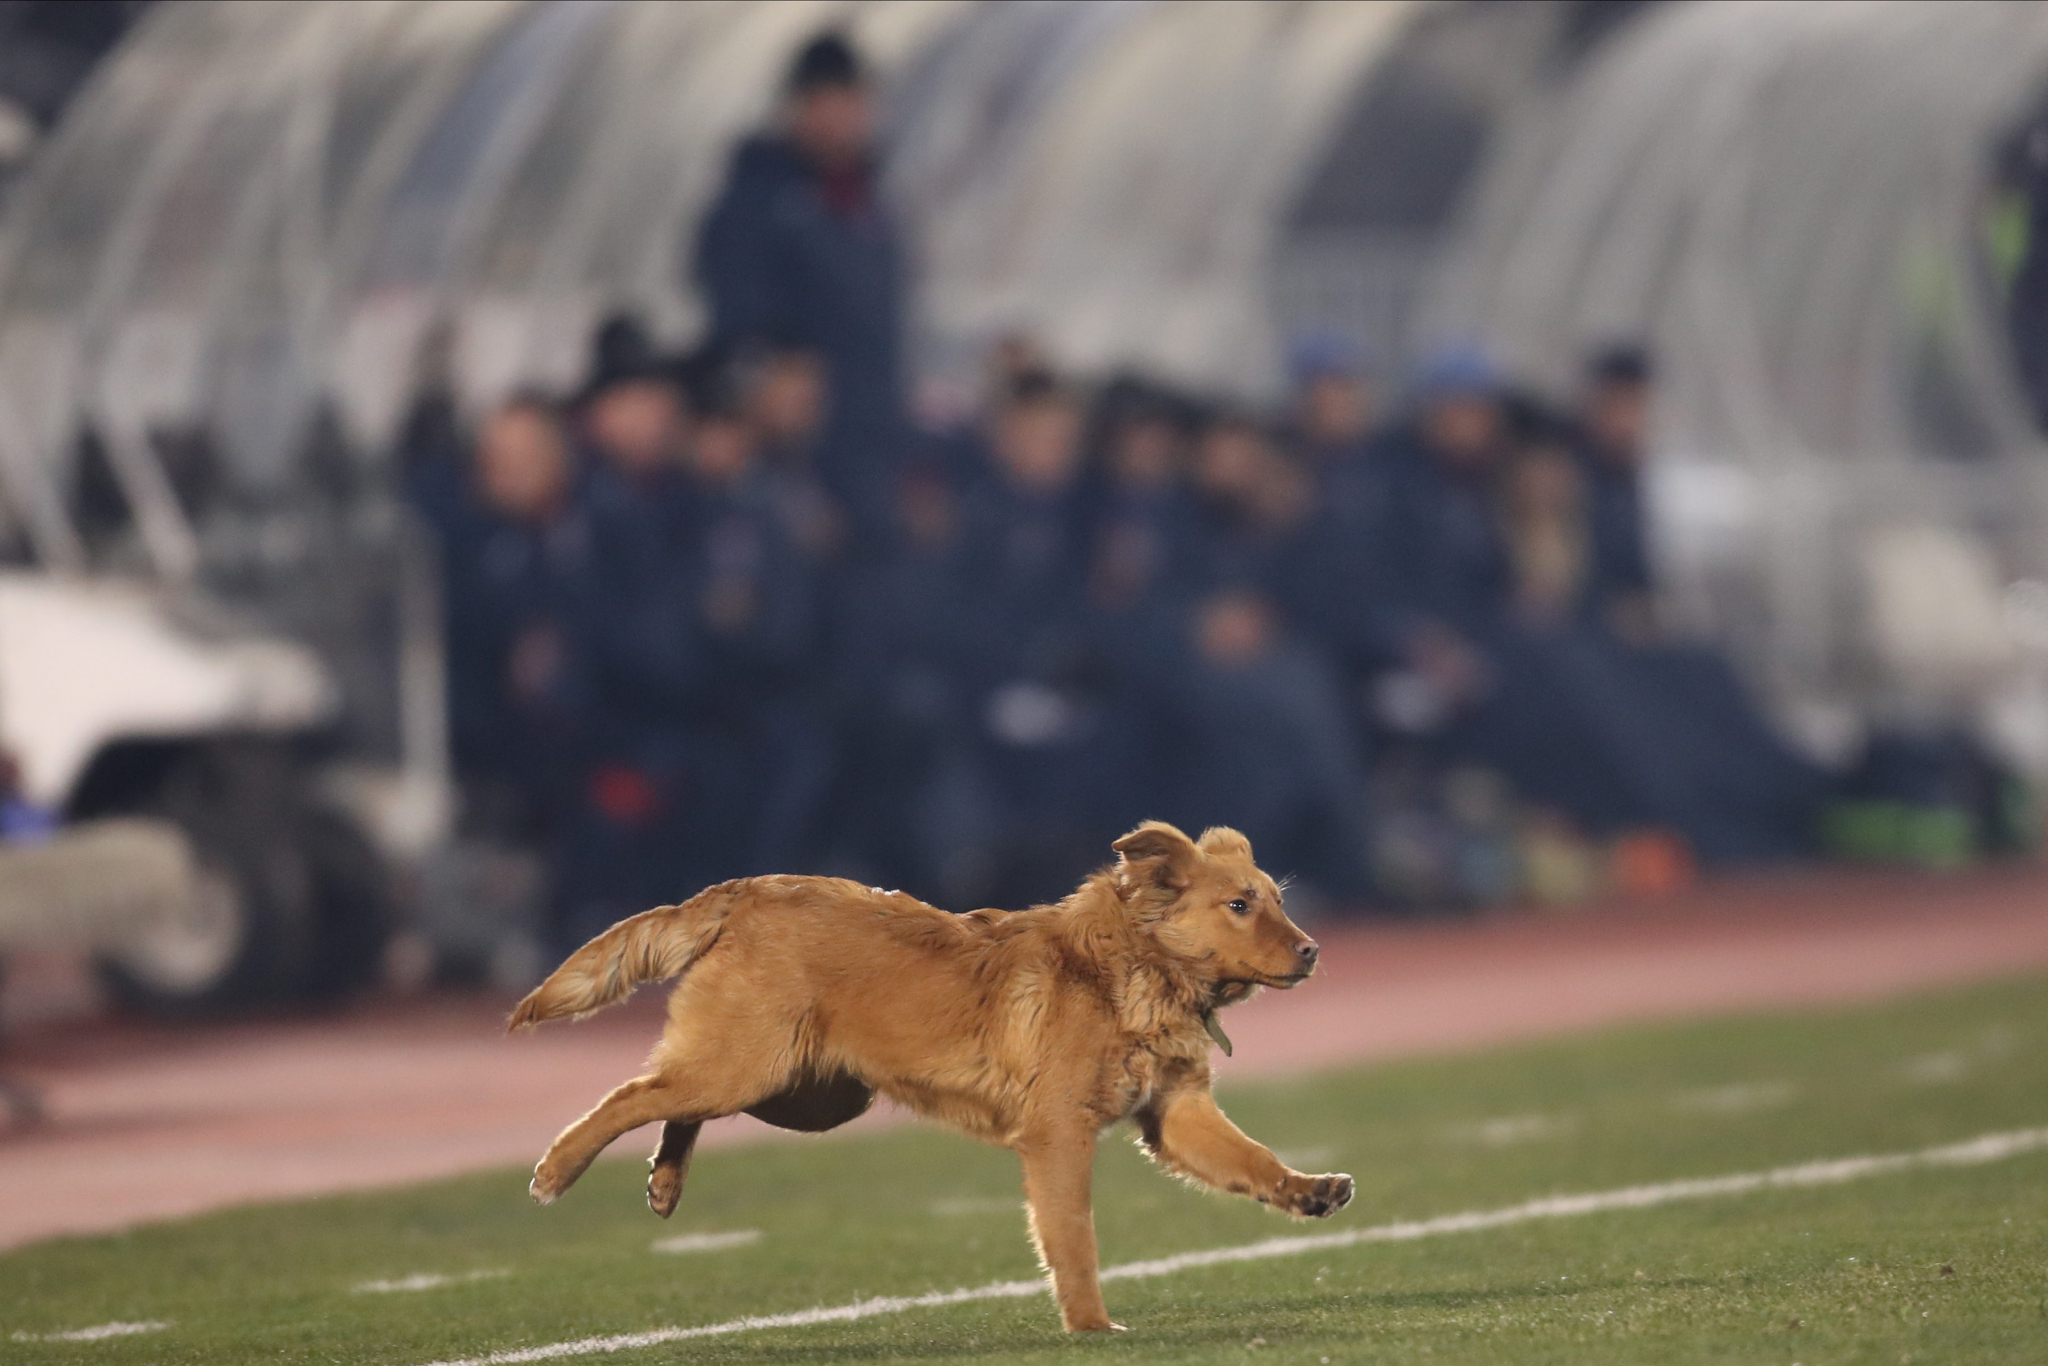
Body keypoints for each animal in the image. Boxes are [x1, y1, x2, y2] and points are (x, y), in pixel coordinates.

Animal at [505, 819, 1351, 1327]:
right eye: (1239, 905)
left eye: (1274, 901)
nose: (1313, 951)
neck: (1131, 965)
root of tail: (747, 892)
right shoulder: (1058, 1137)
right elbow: (1073, 1237)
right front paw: (1091, 1325)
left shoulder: (1175, 1112)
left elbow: (1252, 1161)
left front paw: (1309, 1192)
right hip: (748, 1069)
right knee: (632, 1093)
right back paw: (556, 1169)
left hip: (801, 1092)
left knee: (671, 1104)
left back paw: (665, 1182)